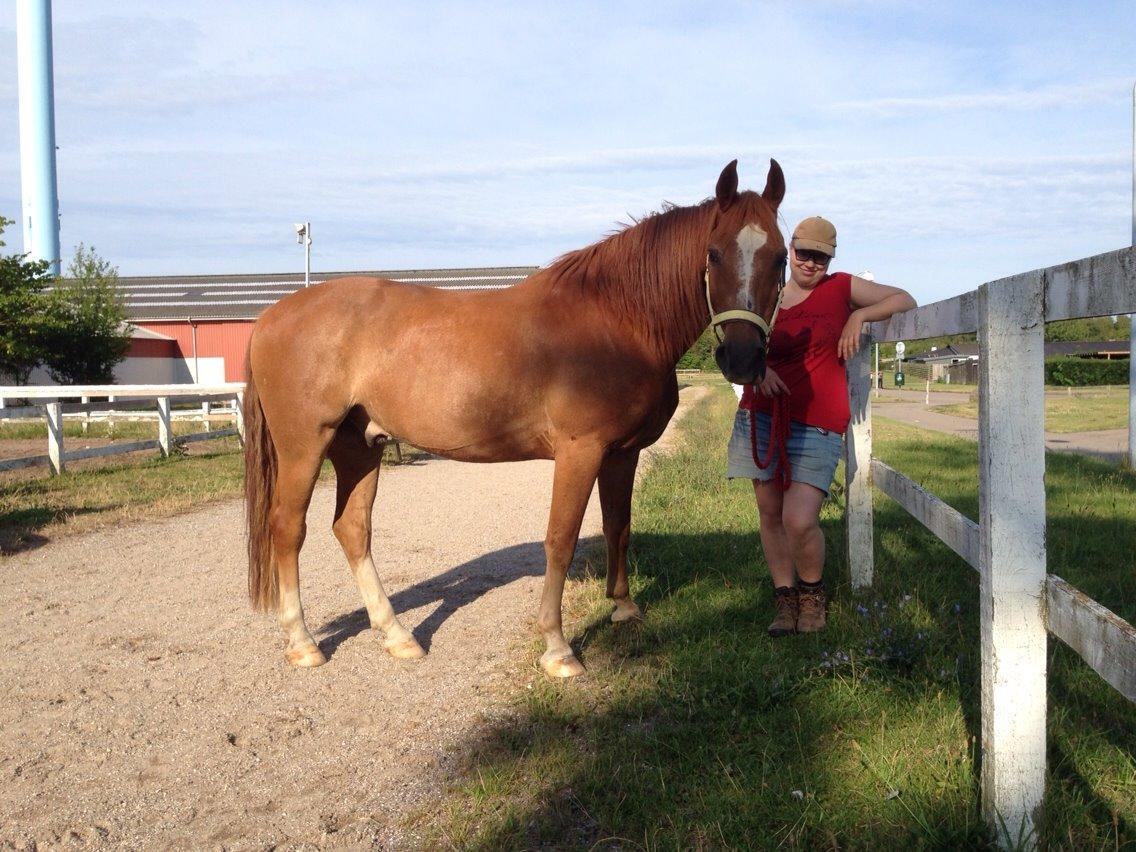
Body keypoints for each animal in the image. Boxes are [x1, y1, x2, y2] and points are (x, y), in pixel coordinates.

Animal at [244, 159, 786, 681]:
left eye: (780, 257)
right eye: (713, 254)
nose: (743, 359)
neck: (618, 322)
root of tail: (271, 316)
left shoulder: (623, 453)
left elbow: (618, 526)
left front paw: (624, 608)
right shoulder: (579, 450)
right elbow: (561, 540)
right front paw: (558, 648)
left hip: (360, 446)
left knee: (352, 529)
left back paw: (397, 636)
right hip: (305, 445)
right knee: (287, 528)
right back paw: (303, 644)